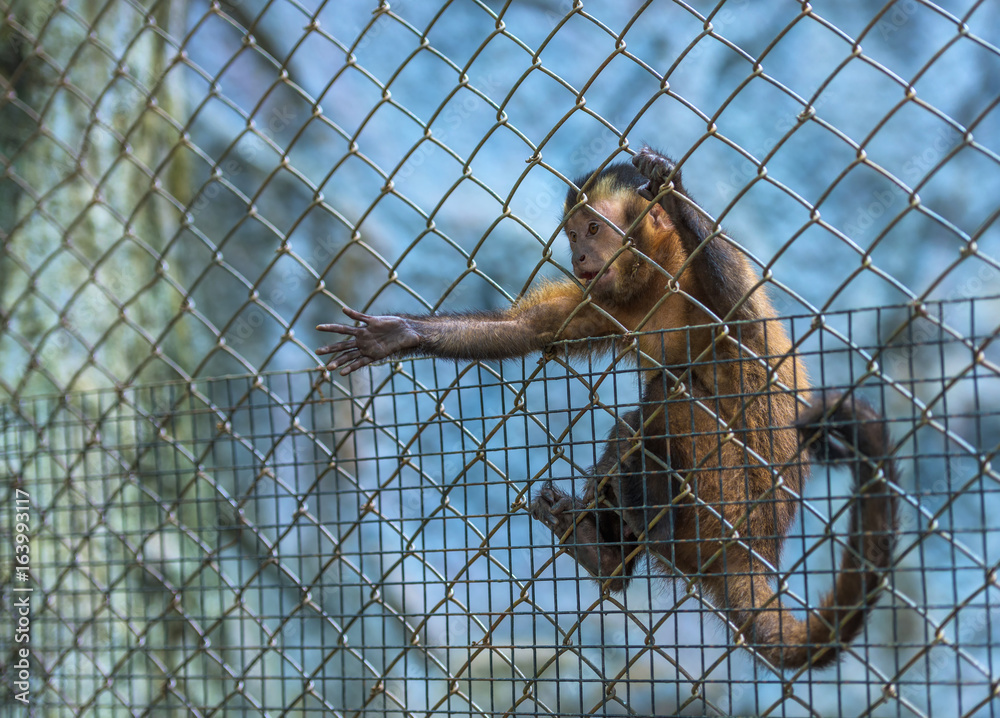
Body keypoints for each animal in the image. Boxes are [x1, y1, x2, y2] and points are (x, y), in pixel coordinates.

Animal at [318, 148, 900, 676]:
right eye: (572, 236)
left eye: (593, 229)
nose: (578, 256)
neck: (659, 277)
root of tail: (759, 549)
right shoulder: (610, 298)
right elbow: (528, 329)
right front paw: (396, 336)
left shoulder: (706, 279)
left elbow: (736, 319)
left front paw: (675, 193)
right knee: (640, 420)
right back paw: (608, 558)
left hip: (729, 504)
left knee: (667, 397)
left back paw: (649, 529)